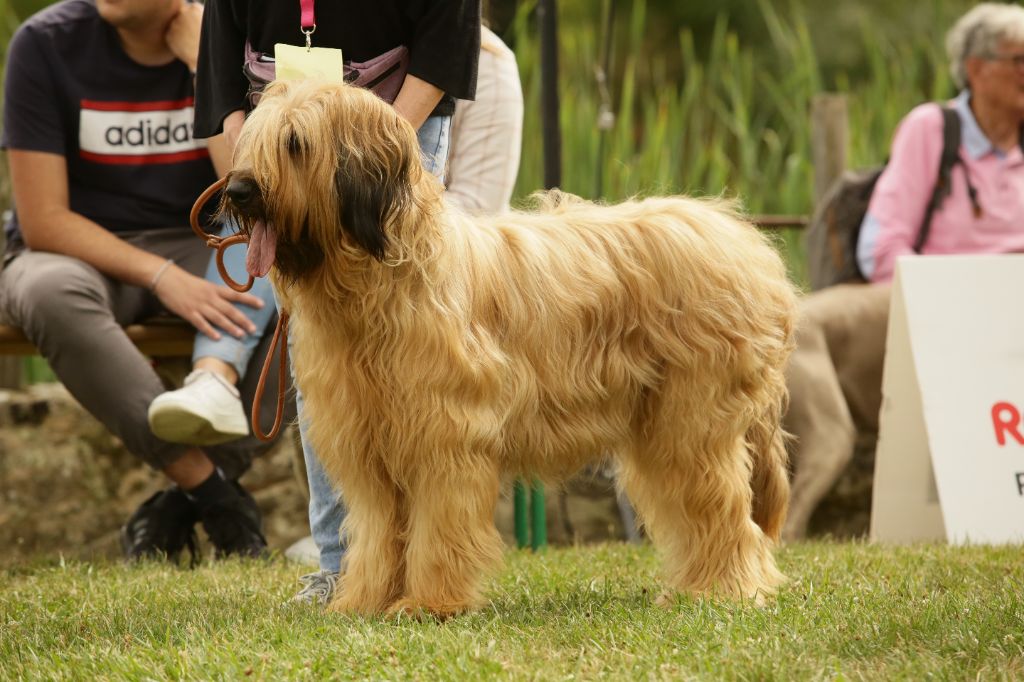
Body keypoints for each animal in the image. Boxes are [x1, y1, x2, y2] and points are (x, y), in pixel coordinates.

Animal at [222, 79, 798, 614]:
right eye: (252, 140)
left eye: (295, 143)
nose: (238, 190)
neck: (381, 283)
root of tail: (747, 244)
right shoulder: (371, 449)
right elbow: (380, 533)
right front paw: (363, 602)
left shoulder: (444, 437)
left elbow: (438, 526)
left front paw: (428, 604)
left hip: (690, 420)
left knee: (720, 507)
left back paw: (721, 590)